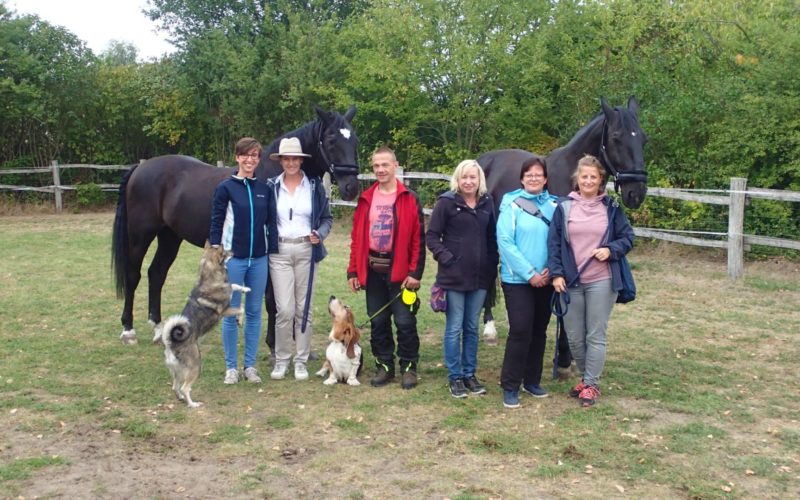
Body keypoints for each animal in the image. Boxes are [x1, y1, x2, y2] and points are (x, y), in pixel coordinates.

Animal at [111, 105, 360, 344]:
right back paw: (128, 330)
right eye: (331, 139)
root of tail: (140, 168)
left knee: (157, 273)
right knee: (134, 275)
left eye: (353, 139)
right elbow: (273, 300)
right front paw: (273, 343)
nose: (351, 188)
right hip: (140, 235)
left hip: (170, 236)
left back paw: (157, 328)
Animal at [152, 241, 248, 406]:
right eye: (225, 252)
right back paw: (193, 404)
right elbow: (241, 307)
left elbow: (234, 285)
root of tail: (171, 344)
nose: (234, 251)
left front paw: (246, 288)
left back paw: (181, 398)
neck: (209, 279)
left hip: (177, 371)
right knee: (185, 388)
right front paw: (240, 319)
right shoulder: (225, 311)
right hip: (196, 367)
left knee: (175, 387)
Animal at [478, 95, 648, 374]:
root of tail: (483, 161)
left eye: (643, 138)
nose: (637, 193)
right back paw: (489, 328)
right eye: (616, 137)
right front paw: (566, 356)